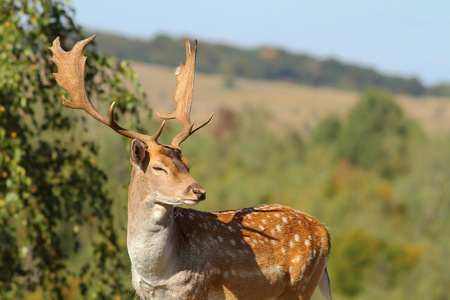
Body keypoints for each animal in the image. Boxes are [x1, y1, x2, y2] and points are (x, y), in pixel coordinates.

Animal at [49, 34, 332, 298]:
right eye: (158, 167)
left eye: (187, 165)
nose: (199, 191)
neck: (157, 275)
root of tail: (325, 232)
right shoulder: (146, 293)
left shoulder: (193, 288)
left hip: (301, 284)